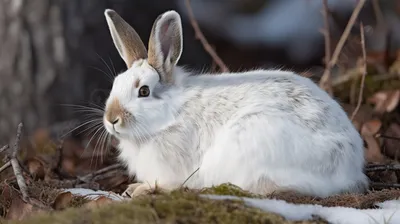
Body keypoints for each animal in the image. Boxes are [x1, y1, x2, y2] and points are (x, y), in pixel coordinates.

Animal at [101, 8, 368, 198]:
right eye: (115, 84)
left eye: (144, 91)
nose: (112, 118)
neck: (171, 113)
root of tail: (350, 167)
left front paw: (141, 189)